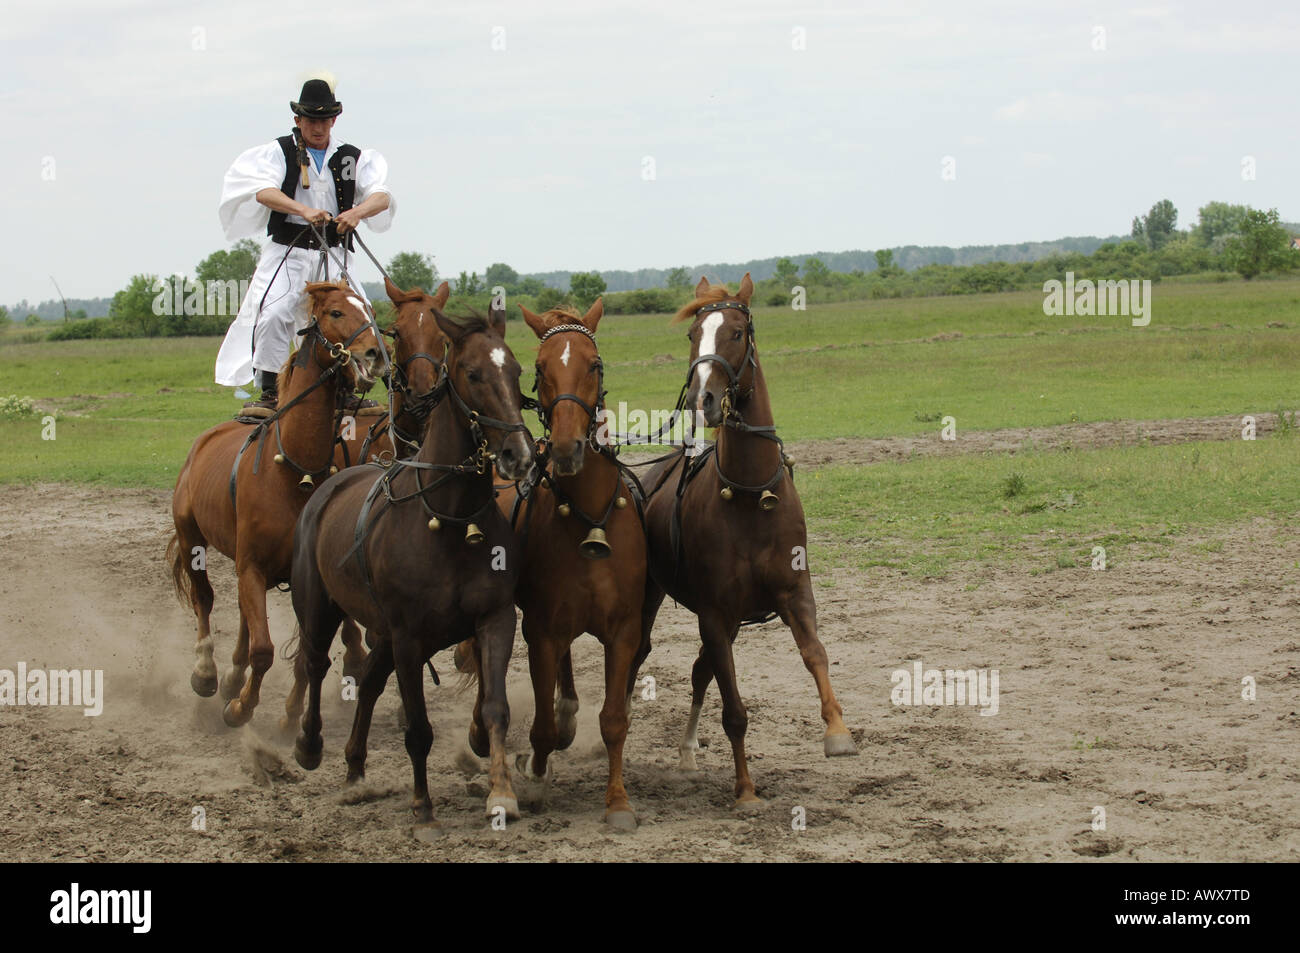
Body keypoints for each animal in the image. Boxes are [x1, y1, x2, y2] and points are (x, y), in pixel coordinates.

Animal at [167, 278, 382, 722]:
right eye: (336, 312)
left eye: (369, 309)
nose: (374, 354)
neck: (294, 471)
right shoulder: (249, 566)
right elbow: (264, 649)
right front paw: (240, 708)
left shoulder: (295, 574)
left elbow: (300, 652)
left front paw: (272, 706)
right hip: (191, 536)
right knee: (204, 599)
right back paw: (207, 671)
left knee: (244, 618)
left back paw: (233, 676)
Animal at [292, 306, 535, 826]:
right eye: (472, 373)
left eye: (516, 371)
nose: (519, 455)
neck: (451, 520)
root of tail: (328, 489)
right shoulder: (408, 638)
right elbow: (419, 729)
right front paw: (423, 805)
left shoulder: (494, 620)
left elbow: (495, 708)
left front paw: (501, 793)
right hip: (320, 610)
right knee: (315, 663)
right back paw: (309, 744)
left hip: (381, 633)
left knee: (367, 683)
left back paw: (355, 768)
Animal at [491, 301, 644, 826]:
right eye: (539, 369)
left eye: (593, 364)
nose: (565, 448)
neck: (588, 518)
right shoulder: (539, 630)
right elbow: (539, 729)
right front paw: (536, 778)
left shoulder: (623, 632)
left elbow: (614, 720)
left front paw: (618, 803)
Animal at [637, 275, 857, 811]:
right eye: (693, 334)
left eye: (736, 332)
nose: (702, 399)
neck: (752, 494)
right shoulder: (717, 614)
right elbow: (734, 710)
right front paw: (745, 790)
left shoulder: (794, 595)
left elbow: (816, 654)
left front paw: (838, 732)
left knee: (700, 672)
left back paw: (688, 753)